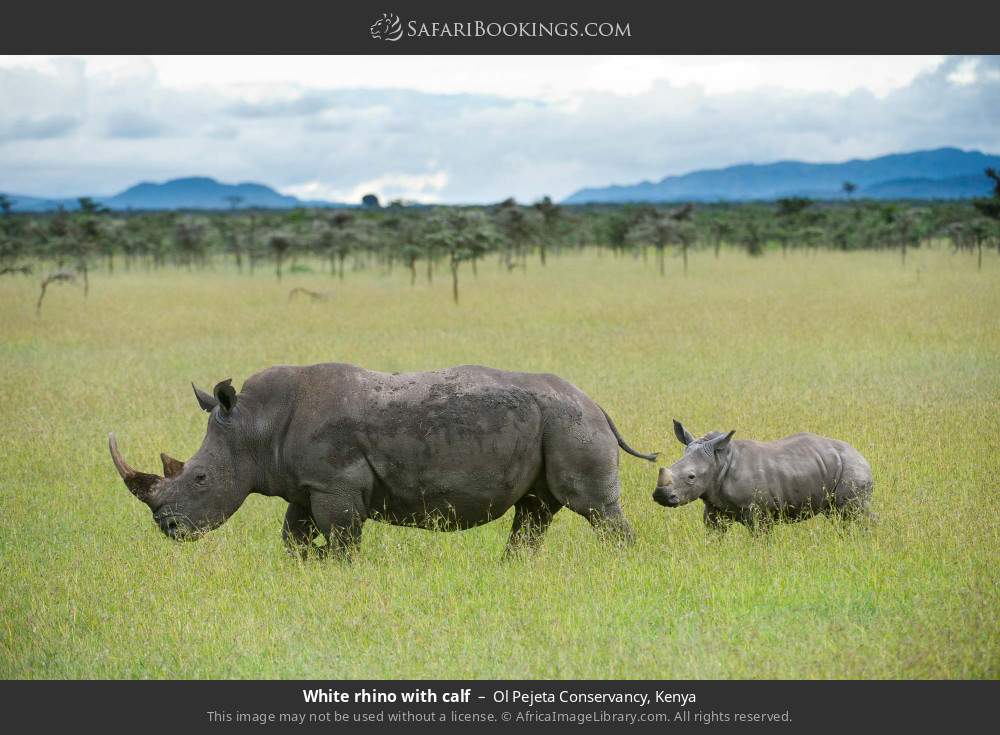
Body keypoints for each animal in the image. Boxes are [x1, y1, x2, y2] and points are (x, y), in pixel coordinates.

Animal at [109, 363, 658, 558]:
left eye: (200, 478)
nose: (168, 528)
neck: (255, 427)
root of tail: (597, 404)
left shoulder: (335, 483)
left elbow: (342, 538)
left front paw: (336, 568)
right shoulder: (308, 484)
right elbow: (293, 535)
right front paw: (304, 563)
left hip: (571, 423)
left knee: (594, 509)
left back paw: (624, 565)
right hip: (555, 424)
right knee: (535, 510)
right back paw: (514, 569)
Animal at [652, 419, 873, 535]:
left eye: (691, 477)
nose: (660, 496)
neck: (719, 460)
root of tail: (860, 454)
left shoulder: (759, 512)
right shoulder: (714, 507)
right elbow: (714, 533)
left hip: (852, 467)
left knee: (853, 512)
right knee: (836, 514)